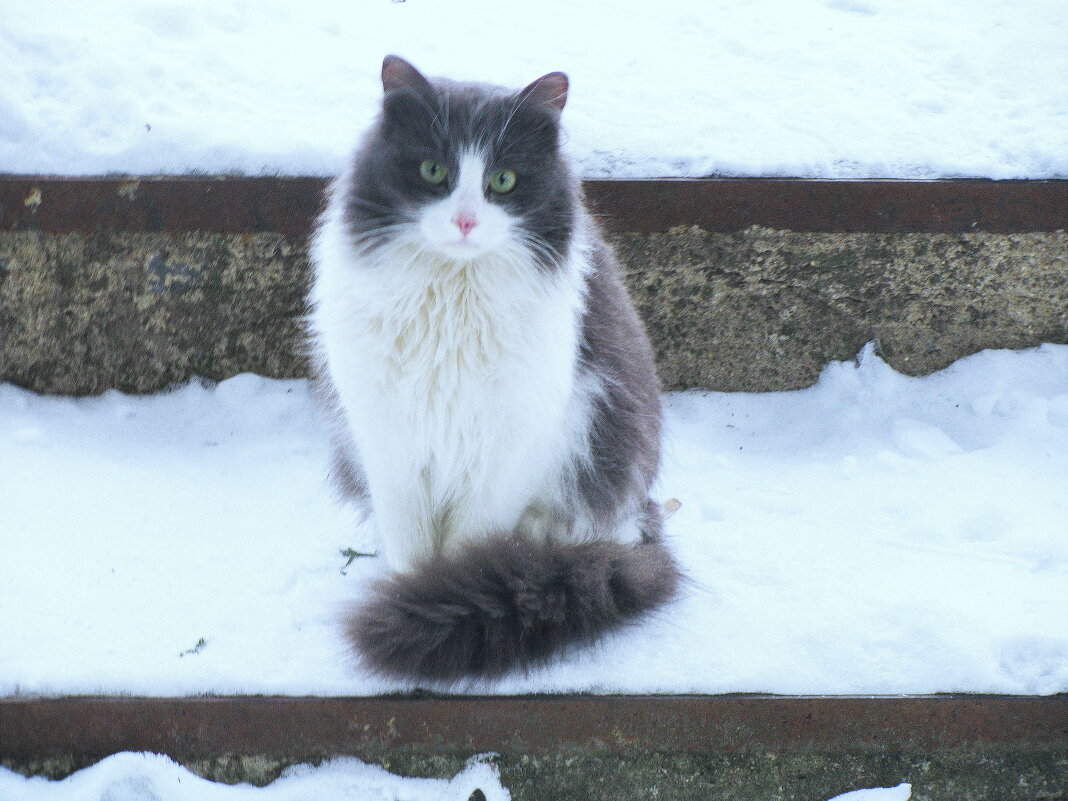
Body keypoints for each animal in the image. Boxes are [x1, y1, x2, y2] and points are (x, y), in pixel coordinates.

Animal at [305, 56, 679, 683]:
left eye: (503, 181)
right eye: (433, 170)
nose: (464, 221)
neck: (449, 301)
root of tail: (644, 521)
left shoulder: (505, 447)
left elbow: (463, 552)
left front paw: (429, 602)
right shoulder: (388, 441)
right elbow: (411, 546)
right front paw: (409, 596)